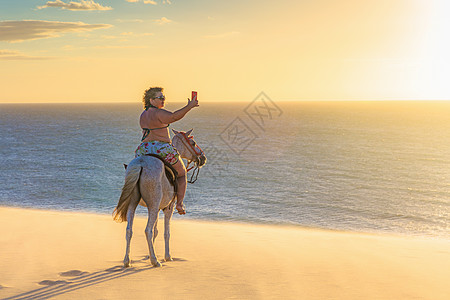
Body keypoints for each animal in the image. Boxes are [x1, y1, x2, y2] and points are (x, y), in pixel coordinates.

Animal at [113, 129, 207, 268]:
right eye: (193, 143)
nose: (203, 158)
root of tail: (141, 164)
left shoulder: (157, 209)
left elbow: (156, 230)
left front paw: (149, 254)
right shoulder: (168, 208)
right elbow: (166, 233)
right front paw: (167, 256)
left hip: (134, 203)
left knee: (129, 230)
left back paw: (127, 261)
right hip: (153, 205)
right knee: (147, 230)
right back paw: (155, 261)